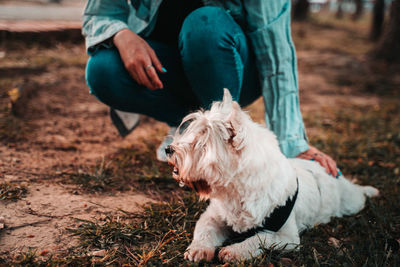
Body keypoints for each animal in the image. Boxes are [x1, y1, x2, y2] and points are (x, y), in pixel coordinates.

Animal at [166, 90, 378, 264]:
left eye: (201, 144)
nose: (169, 149)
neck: (236, 191)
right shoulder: (213, 216)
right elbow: (204, 230)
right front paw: (199, 249)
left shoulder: (287, 237)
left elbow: (260, 238)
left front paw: (234, 251)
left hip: (351, 202)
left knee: (359, 195)